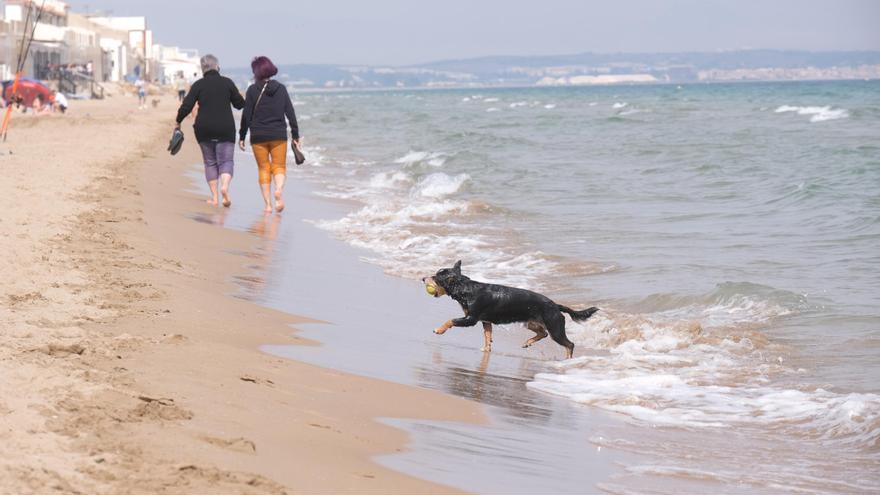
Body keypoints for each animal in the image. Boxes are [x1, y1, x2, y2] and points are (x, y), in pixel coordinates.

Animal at [420, 262, 600, 358]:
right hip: (531, 323)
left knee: (569, 344)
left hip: (555, 327)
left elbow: (451, 320)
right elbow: (487, 336)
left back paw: (567, 360)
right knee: (542, 333)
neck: (466, 288)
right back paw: (527, 343)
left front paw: (439, 330)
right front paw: (487, 350)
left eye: (435, 277)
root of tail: (556, 305)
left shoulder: (471, 319)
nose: (422, 278)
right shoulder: (485, 321)